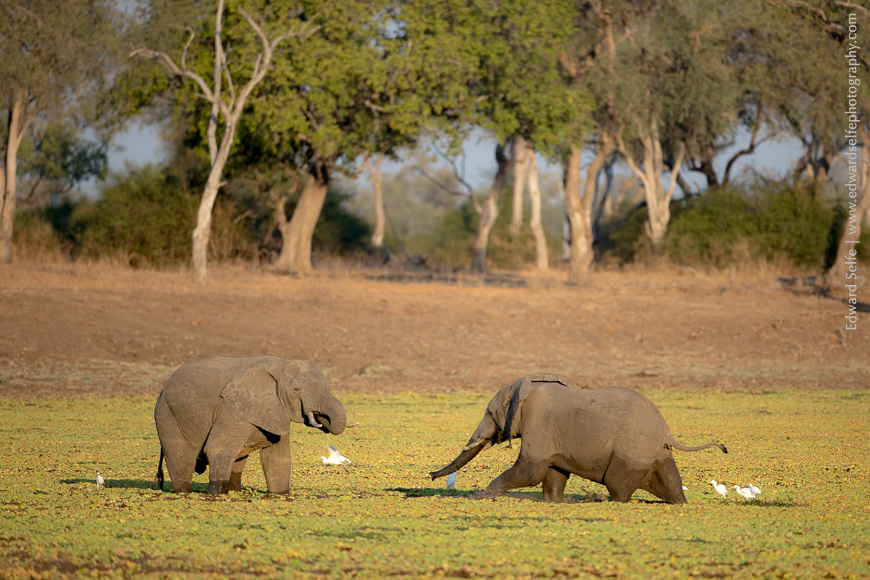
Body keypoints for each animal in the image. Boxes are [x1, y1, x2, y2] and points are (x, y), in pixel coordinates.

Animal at [154, 354, 347, 495]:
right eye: (297, 390)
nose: (321, 419)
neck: (282, 365)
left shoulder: (276, 412)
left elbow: (277, 460)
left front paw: (279, 495)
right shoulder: (232, 409)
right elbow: (217, 449)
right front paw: (215, 496)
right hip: (168, 416)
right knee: (181, 460)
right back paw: (184, 492)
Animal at [429, 374, 727, 504]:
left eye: (490, 413)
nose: (430, 475)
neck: (524, 389)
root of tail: (666, 431)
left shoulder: (539, 423)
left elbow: (531, 469)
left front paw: (482, 495)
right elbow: (553, 472)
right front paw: (553, 503)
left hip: (631, 453)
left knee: (618, 487)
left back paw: (601, 500)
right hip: (656, 453)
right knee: (671, 482)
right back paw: (680, 503)